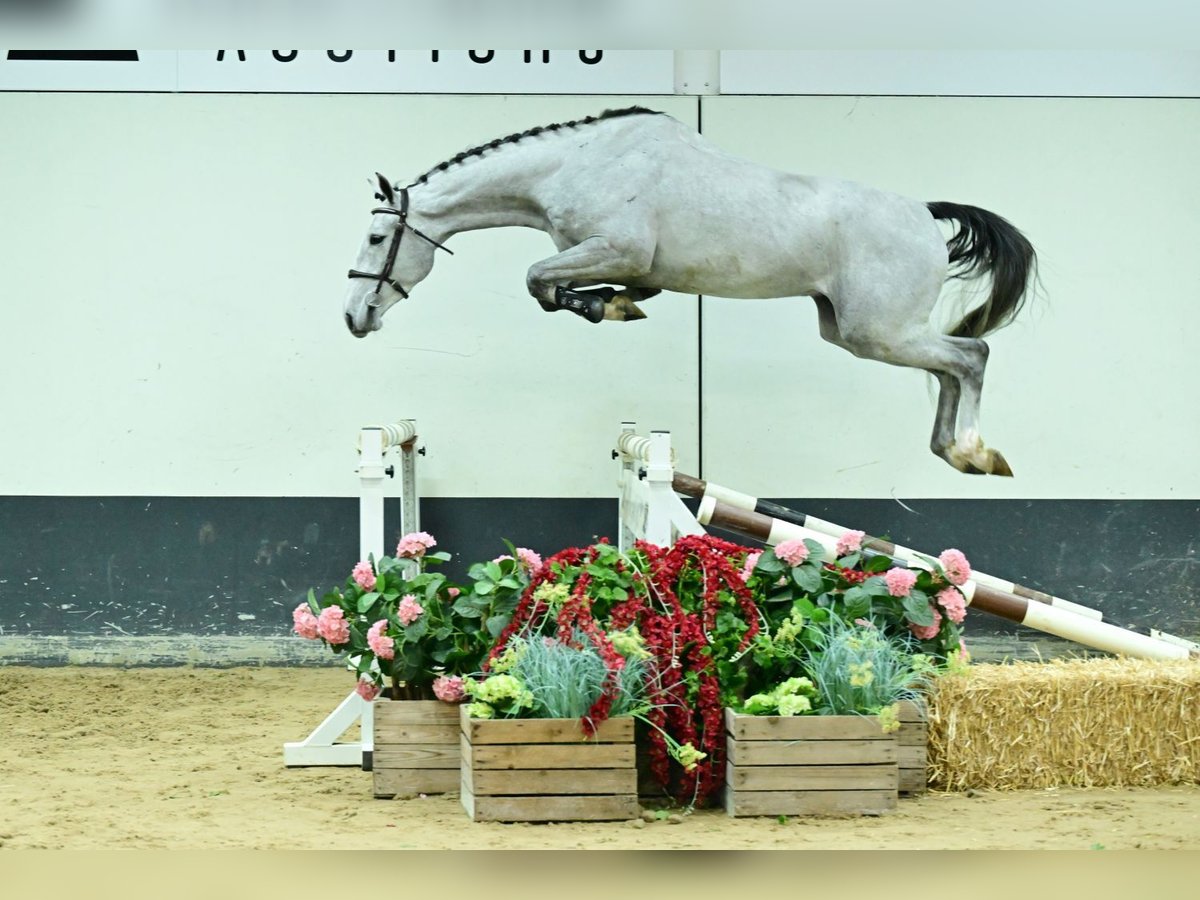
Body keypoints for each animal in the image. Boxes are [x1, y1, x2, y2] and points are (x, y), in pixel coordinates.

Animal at [344, 106, 1037, 476]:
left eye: (377, 239)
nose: (354, 317)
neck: (573, 163)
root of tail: (923, 212)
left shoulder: (615, 247)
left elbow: (539, 280)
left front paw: (603, 305)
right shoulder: (628, 262)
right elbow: (570, 287)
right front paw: (615, 304)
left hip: (879, 331)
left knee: (971, 356)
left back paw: (974, 452)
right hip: (852, 330)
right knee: (949, 367)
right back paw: (953, 451)